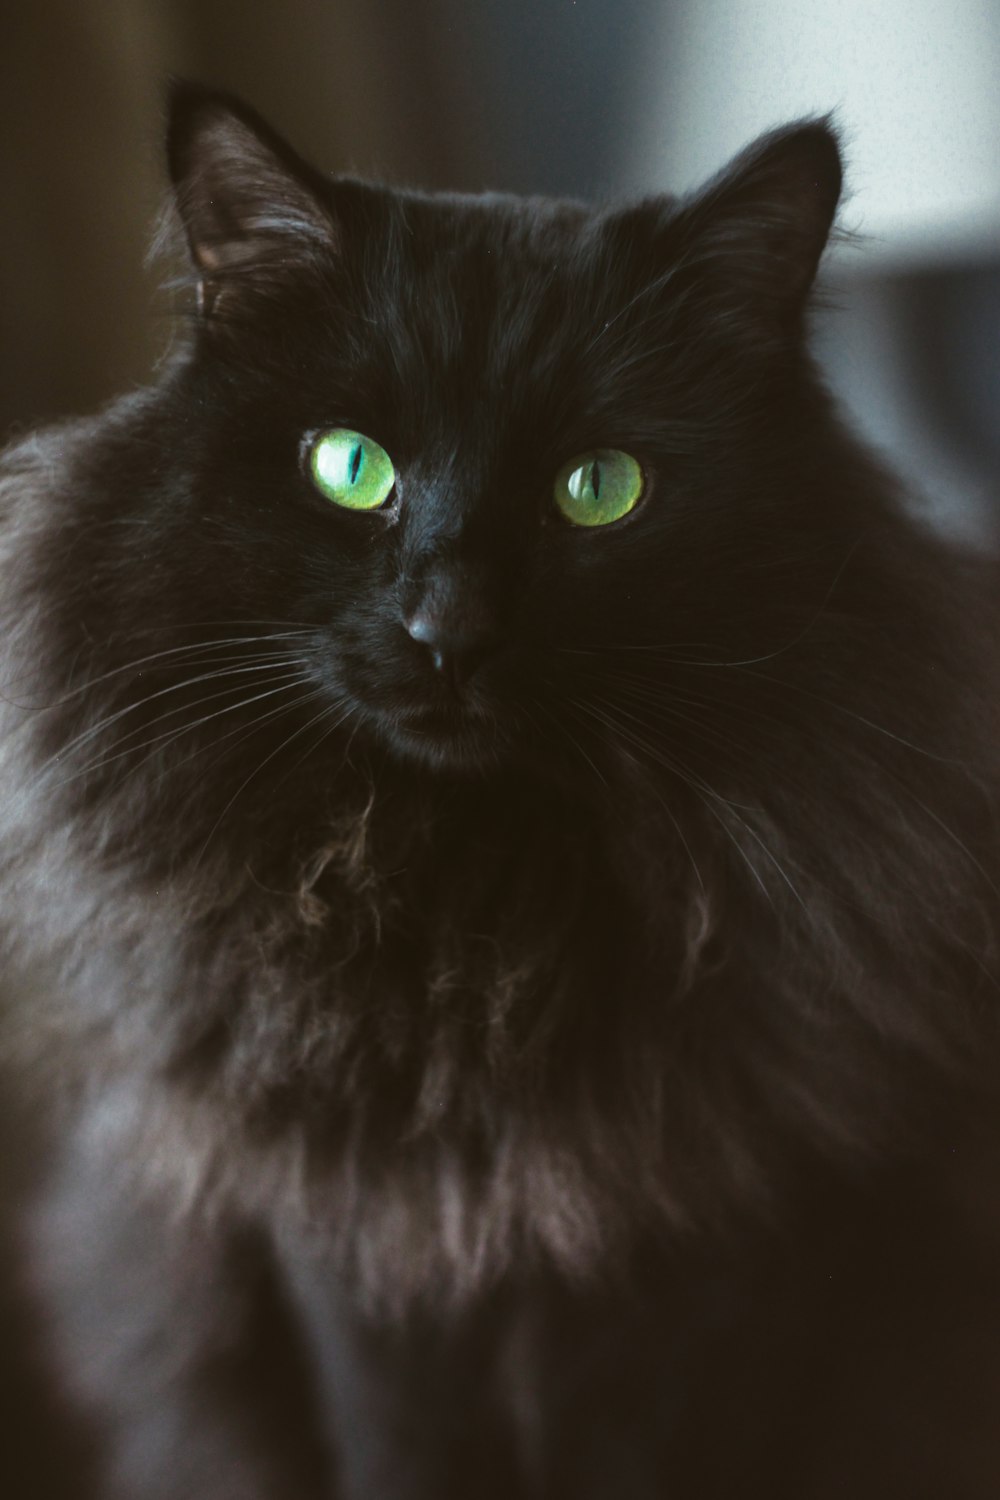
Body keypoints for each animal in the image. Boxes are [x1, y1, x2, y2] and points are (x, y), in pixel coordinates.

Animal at [1, 85, 1000, 1500]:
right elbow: (401, 1458)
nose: (449, 633)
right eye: (349, 468)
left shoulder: (708, 1264)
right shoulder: (356, 1256)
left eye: (599, 490)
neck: (479, 921)